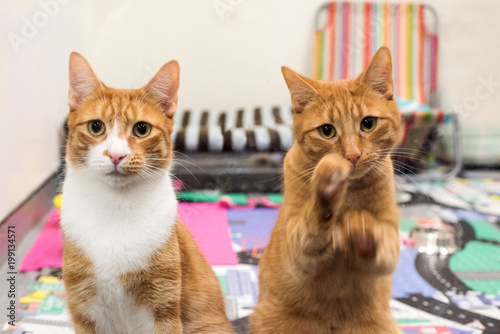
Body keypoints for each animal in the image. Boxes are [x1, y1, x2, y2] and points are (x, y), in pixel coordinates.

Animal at [61, 52, 234, 334]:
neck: (116, 208)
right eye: (96, 127)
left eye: (142, 129)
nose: (117, 155)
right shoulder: (84, 306)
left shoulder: (163, 304)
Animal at [250, 47, 402, 334]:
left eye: (368, 123)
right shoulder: (297, 247)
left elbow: (382, 247)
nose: (352, 156)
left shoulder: (390, 244)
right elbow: (314, 224)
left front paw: (362, 231)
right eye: (327, 131)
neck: (350, 194)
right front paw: (328, 187)